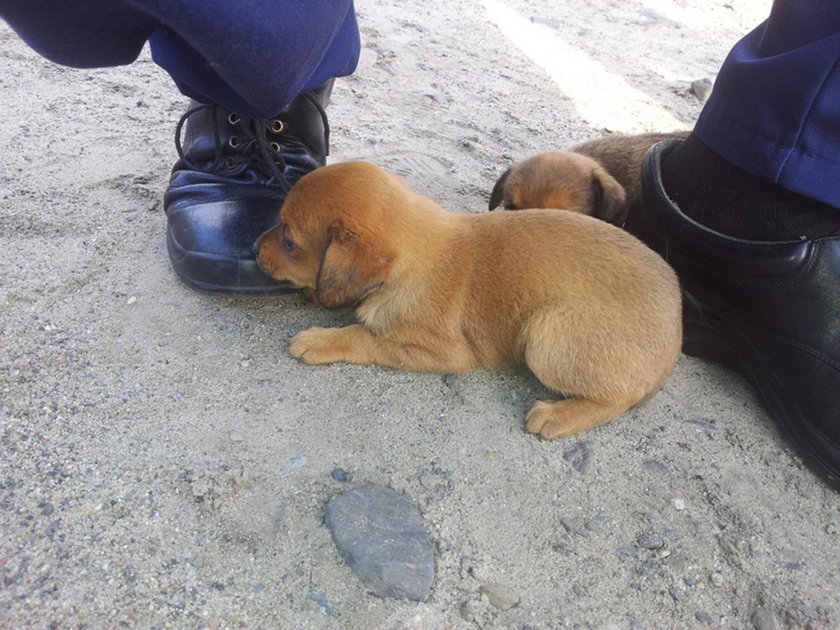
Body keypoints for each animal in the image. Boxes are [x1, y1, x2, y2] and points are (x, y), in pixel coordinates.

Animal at [258, 162, 684, 440]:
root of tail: (676, 334)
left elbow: (363, 337)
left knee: (623, 395)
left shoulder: (440, 352)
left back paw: (557, 416)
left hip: (546, 337)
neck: (419, 255)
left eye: (290, 241)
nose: (253, 248)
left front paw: (317, 340)